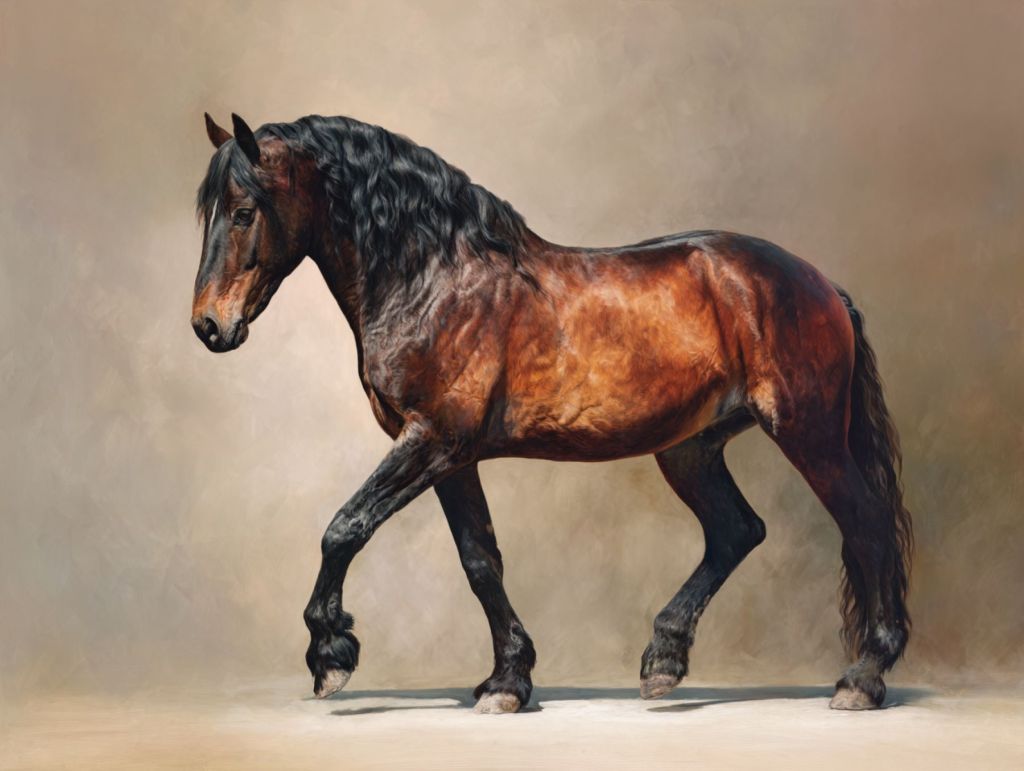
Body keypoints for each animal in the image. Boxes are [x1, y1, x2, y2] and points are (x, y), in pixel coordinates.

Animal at [191, 112, 912, 714]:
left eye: (245, 210)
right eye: (209, 213)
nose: (208, 325)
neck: (434, 279)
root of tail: (821, 285)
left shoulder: (432, 442)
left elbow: (344, 528)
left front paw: (330, 655)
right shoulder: (450, 457)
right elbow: (480, 561)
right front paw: (507, 681)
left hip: (807, 433)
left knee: (866, 522)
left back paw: (862, 677)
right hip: (691, 447)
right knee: (737, 531)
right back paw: (663, 660)